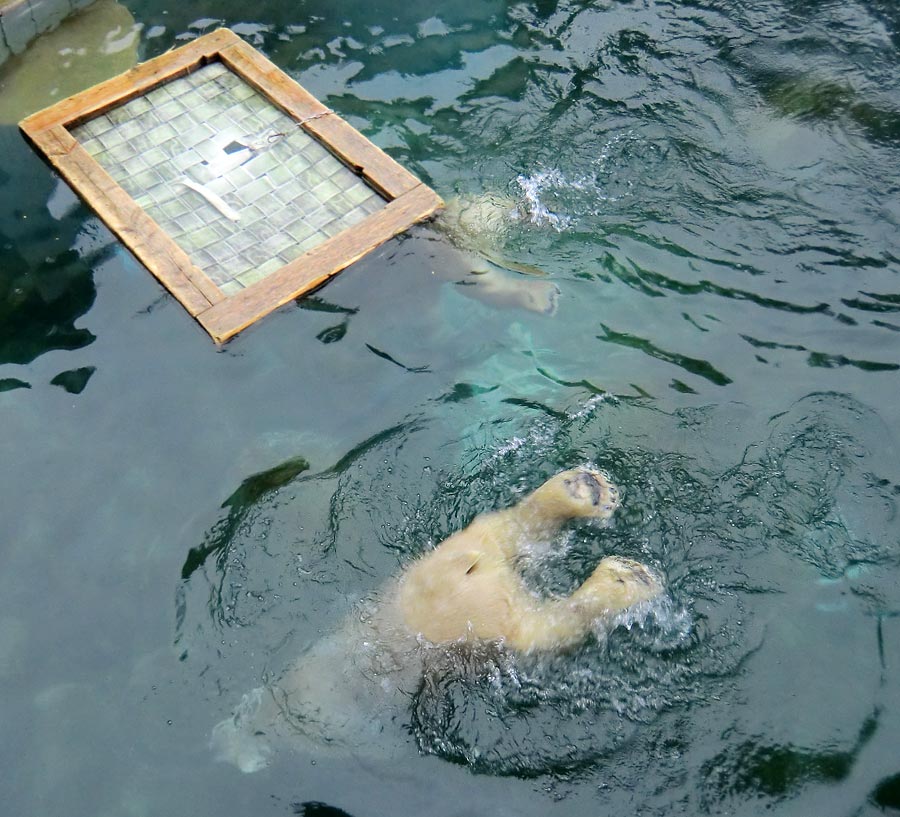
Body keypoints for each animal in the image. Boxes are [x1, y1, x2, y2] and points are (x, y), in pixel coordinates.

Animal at [209, 466, 660, 772]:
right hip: (456, 559)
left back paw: (625, 576)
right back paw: (586, 492)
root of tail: (477, 574)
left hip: (459, 609)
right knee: (506, 534)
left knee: (540, 628)